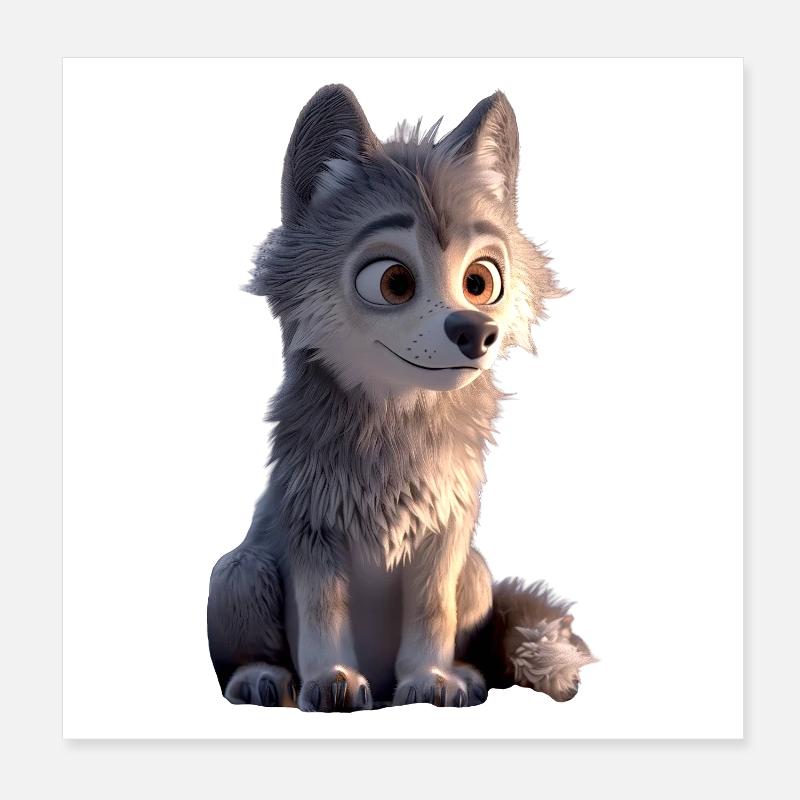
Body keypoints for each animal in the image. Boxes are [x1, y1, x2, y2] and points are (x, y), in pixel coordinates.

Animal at [207, 84, 594, 711]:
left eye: (481, 282)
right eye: (392, 282)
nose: (476, 332)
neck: (397, 437)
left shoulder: (447, 534)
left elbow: (433, 613)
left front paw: (430, 680)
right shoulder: (311, 529)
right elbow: (322, 613)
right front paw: (332, 679)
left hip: (477, 572)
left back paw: (463, 674)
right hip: (239, 569)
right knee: (243, 652)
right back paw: (262, 678)